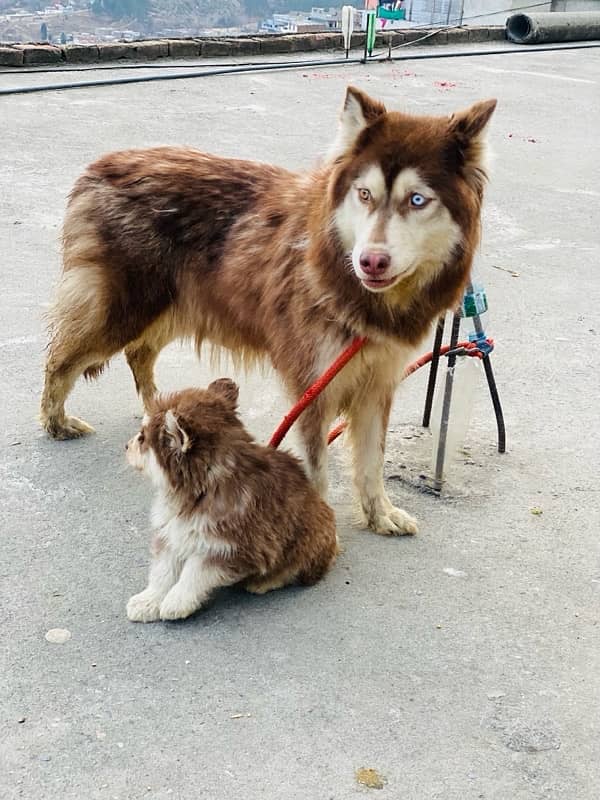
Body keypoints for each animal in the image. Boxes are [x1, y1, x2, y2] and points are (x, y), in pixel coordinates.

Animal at [38, 86, 496, 536]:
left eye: (418, 200)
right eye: (365, 194)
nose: (370, 262)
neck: (349, 284)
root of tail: (99, 166)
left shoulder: (376, 382)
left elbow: (371, 462)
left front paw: (379, 513)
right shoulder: (312, 387)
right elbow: (318, 472)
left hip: (171, 305)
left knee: (139, 353)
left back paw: (159, 412)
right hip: (123, 311)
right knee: (62, 359)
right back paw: (57, 420)